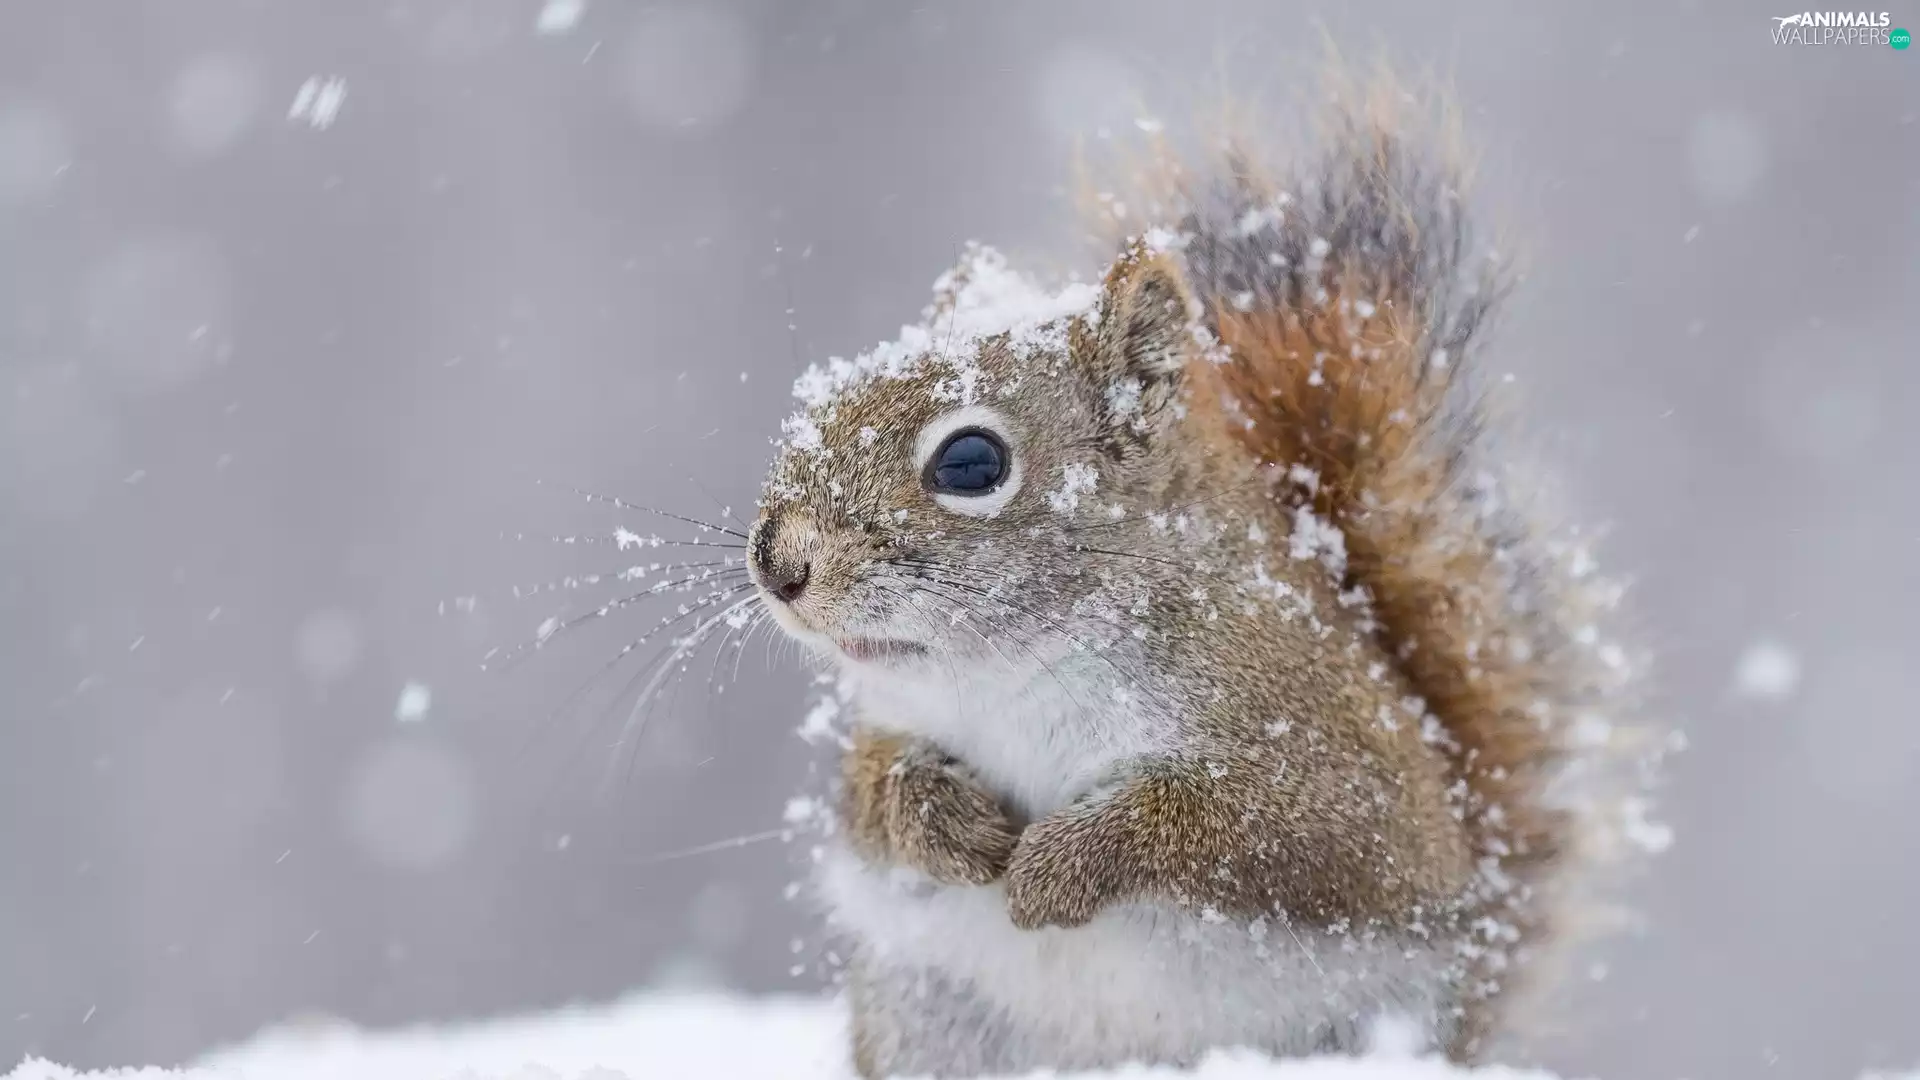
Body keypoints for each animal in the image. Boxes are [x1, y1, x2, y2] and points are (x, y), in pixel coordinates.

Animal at [747, 68, 1652, 1079]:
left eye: (971, 463)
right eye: (821, 400)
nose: (777, 562)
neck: (1013, 671)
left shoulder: (1328, 752)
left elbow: (1269, 832)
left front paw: (1058, 867)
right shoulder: (895, 724)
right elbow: (869, 797)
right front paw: (948, 825)